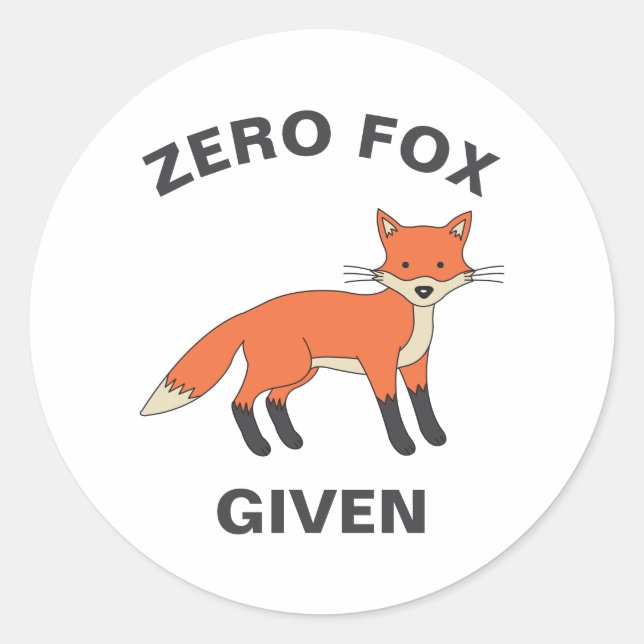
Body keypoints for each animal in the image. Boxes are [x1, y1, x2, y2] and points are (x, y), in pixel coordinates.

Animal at [141, 209, 502, 456]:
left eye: (440, 265)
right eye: (405, 266)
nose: (423, 290)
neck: (414, 318)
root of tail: (251, 312)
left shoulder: (415, 364)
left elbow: (422, 400)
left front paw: (434, 436)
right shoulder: (379, 363)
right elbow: (390, 404)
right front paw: (402, 444)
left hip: (302, 372)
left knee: (273, 401)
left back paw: (290, 441)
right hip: (285, 368)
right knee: (240, 401)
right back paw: (259, 446)